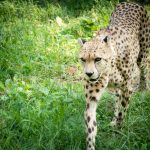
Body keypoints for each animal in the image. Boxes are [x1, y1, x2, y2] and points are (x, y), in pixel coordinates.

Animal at [78, 2, 149, 150]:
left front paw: (119, 131)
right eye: (82, 59)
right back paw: (113, 119)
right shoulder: (91, 99)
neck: (108, 70)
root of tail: (131, 2)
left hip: (143, 55)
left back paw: (144, 89)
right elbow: (90, 125)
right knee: (117, 96)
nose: (89, 74)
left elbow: (123, 110)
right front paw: (91, 145)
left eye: (97, 59)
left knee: (143, 71)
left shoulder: (127, 88)